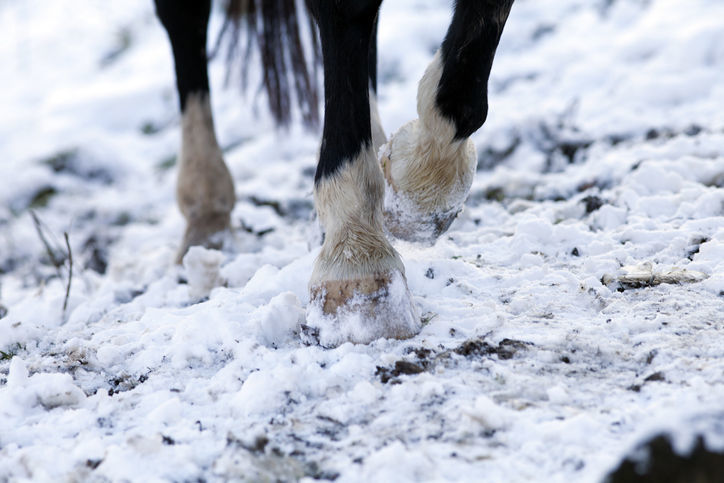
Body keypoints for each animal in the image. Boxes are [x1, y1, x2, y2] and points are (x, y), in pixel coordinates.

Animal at [153, 0, 516, 348]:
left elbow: (463, 97)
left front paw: (414, 195)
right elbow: (349, 13)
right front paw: (357, 257)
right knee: (185, 16)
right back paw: (205, 207)